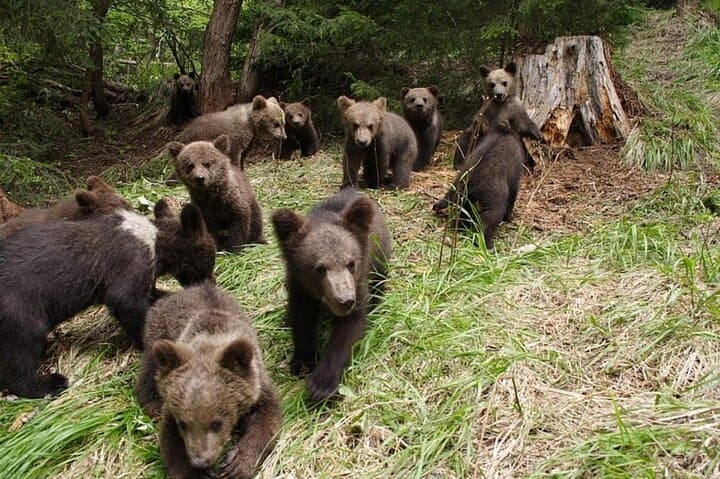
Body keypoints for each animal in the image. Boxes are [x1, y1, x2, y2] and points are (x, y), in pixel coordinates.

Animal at [0, 200, 216, 398]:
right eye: (211, 260)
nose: (212, 283)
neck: (155, 242)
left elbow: (156, 296)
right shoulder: (128, 271)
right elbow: (130, 306)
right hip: (22, 314)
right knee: (20, 362)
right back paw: (52, 383)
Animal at [135, 282, 282, 479]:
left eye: (216, 423)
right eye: (183, 423)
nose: (200, 461)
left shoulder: (258, 386)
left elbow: (267, 420)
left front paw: (236, 464)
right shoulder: (172, 409)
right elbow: (170, 442)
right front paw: (197, 473)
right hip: (158, 335)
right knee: (150, 368)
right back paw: (153, 405)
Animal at [272, 187, 392, 402]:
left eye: (351, 264)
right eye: (319, 268)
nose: (344, 301)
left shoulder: (359, 285)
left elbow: (348, 332)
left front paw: (321, 384)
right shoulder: (299, 288)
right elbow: (301, 320)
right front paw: (302, 362)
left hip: (380, 257)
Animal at [434, 119, 526, 250]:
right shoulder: (515, 178)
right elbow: (512, 198)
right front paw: (509, 217)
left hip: (462, 194)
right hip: (493, 203)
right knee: (487, 223)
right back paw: (487, 245)